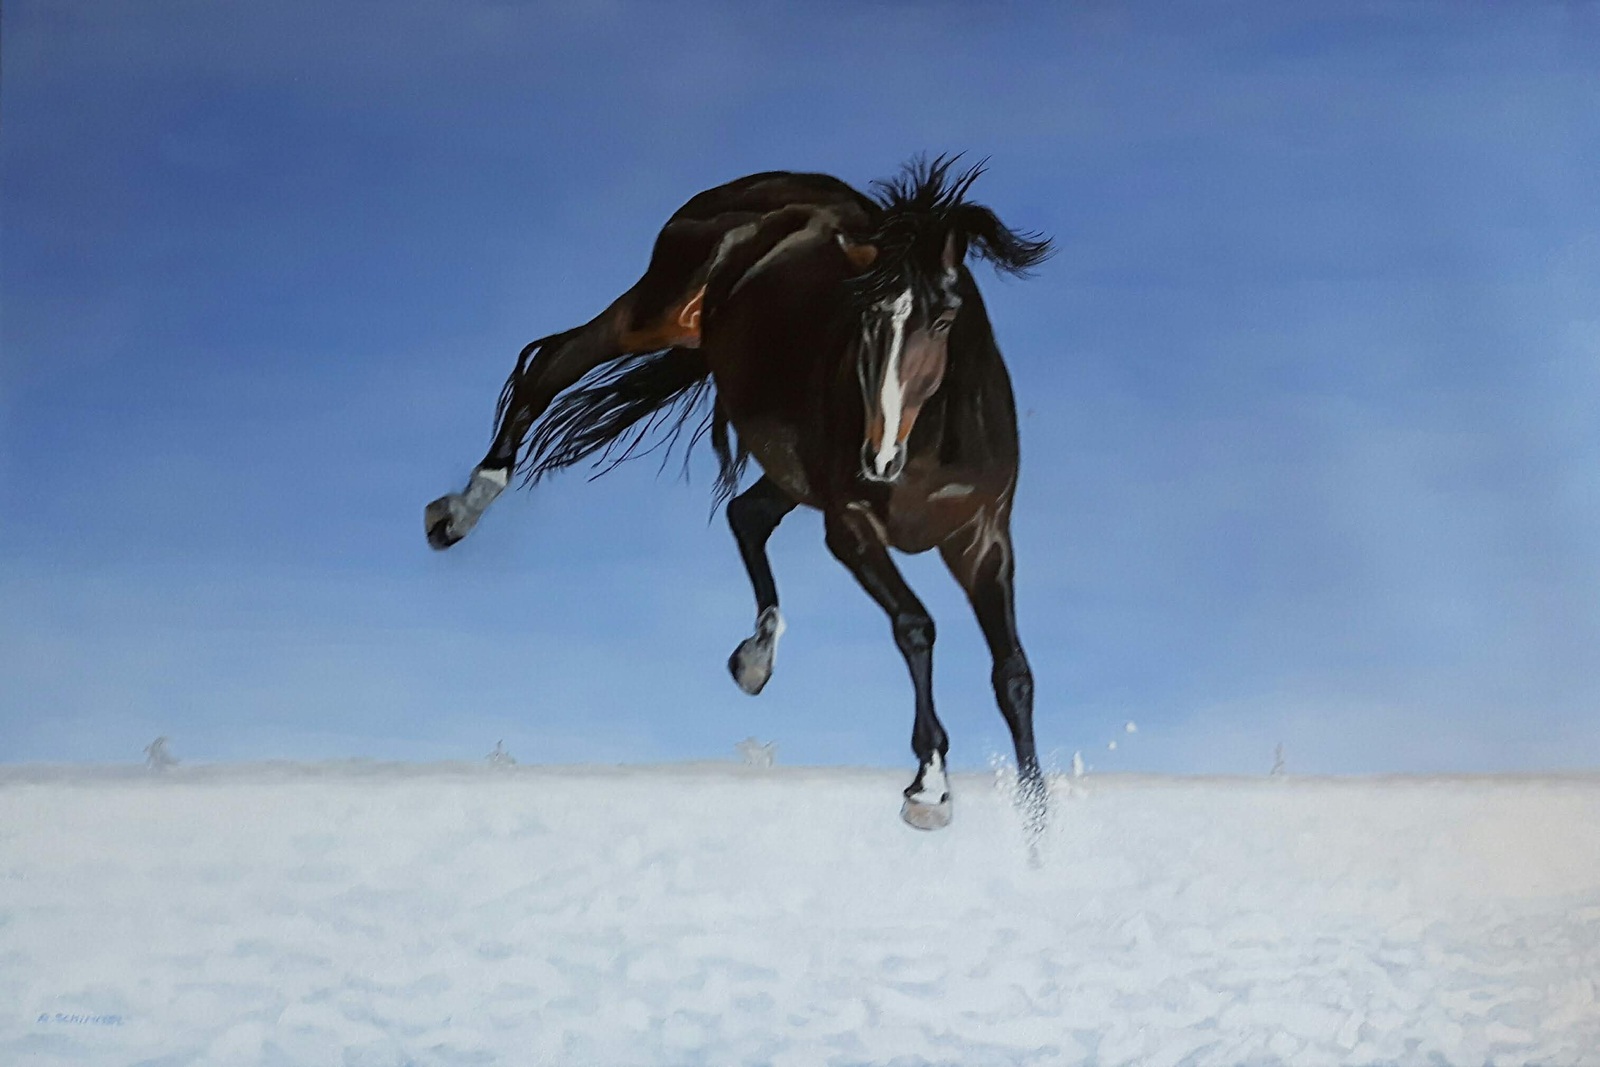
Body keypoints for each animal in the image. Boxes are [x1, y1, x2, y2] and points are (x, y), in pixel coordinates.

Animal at [426, 156, 1052, 832]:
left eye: (943, 319)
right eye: (865, 318)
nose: (879, 459)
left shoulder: (983, 542)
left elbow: (1013, 673)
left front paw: (1039, 819)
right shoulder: (851, 529)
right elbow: (916, 627)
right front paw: (930, 786)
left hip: (781, 459)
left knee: (745, 513)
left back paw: (756, 658)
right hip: (654, 313)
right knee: (552, 366)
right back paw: (458, 513)